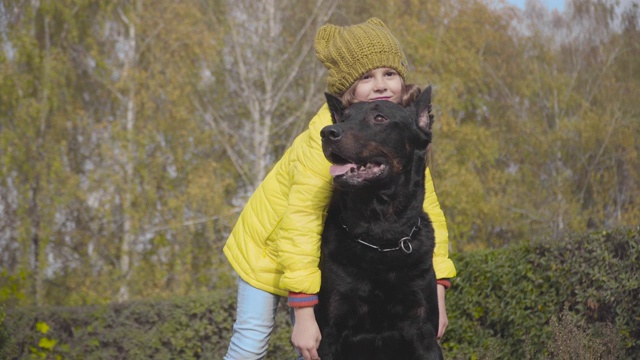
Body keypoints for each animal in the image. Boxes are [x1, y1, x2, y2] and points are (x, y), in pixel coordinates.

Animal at [316, 87, 444, 360]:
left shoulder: (423, 330)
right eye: (343, 118)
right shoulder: (330, 333)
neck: (381, 236)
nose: (328, 132)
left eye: (379, 118)